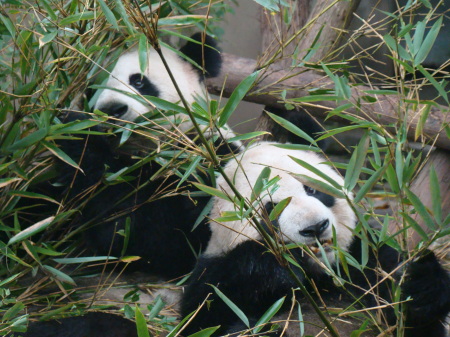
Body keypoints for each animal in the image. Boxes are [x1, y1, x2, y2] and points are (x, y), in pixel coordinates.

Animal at [179, 140, 450, 334]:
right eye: (271, 208)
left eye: (311, 189)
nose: (316, 228)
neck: (322, 274)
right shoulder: (214, 273)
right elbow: (204, 319)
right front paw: (275, 269)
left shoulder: (365, 256)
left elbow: (410, 310)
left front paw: (420, 285)